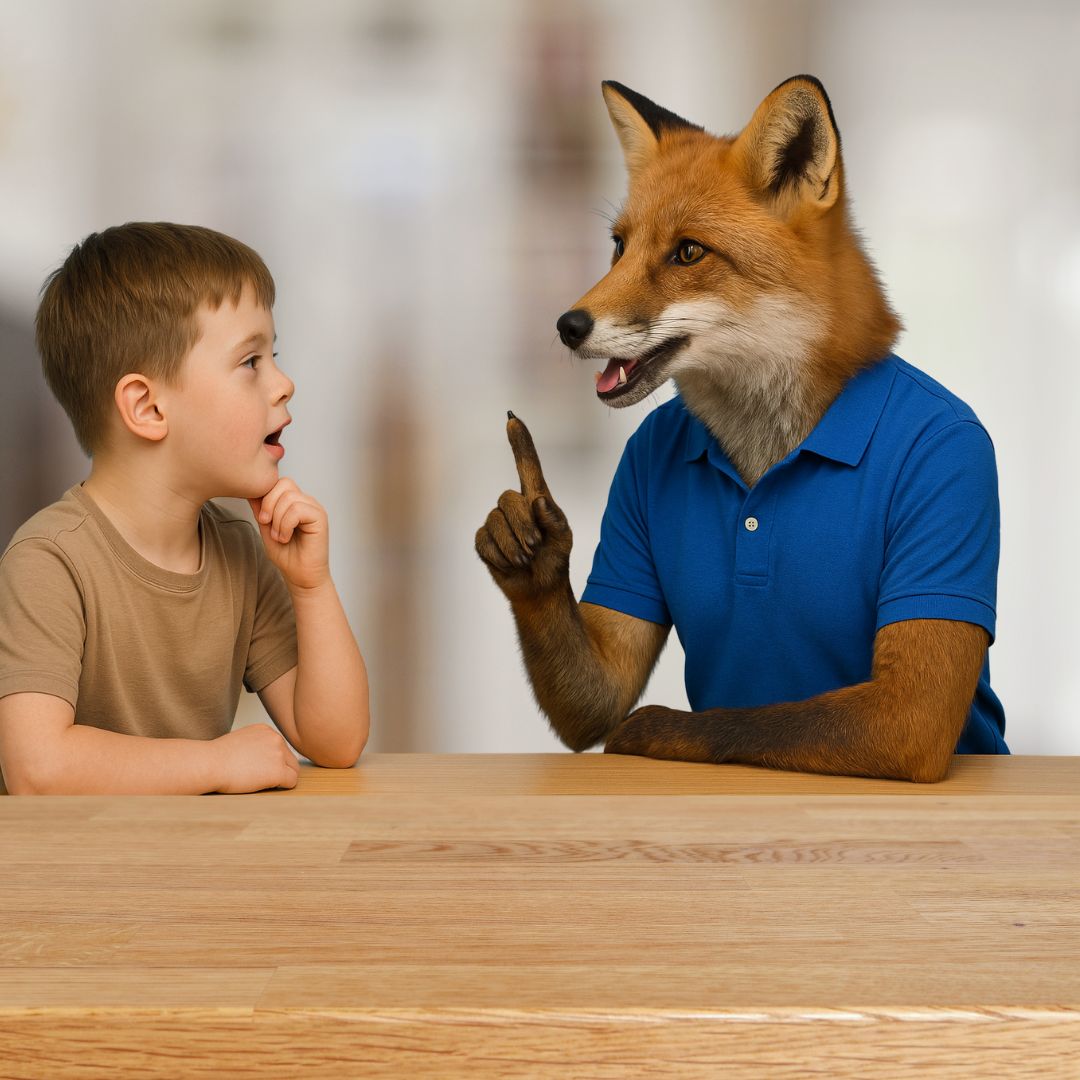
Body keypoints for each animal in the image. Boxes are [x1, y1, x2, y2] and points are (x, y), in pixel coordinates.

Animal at [475, 76, 1006, 782]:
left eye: (688, 252)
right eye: (619, 246)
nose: (566, 325)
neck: (767, 451)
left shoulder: (910, 705)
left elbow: (746, 720)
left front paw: (652, 729)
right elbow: (605, 693)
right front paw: (532, 552)